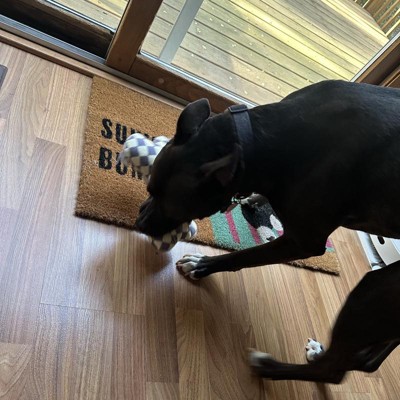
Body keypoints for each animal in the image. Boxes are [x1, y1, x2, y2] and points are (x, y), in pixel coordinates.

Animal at [135, 80, 400, 382]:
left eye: (172, 208)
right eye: (149, 189)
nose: (139, 223)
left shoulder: (302, 242)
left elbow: (243, 256)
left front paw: (202, 265)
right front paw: (254, 199)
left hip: (375, 291)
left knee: (333, 371)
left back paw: (269, 367)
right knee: (366, 361)